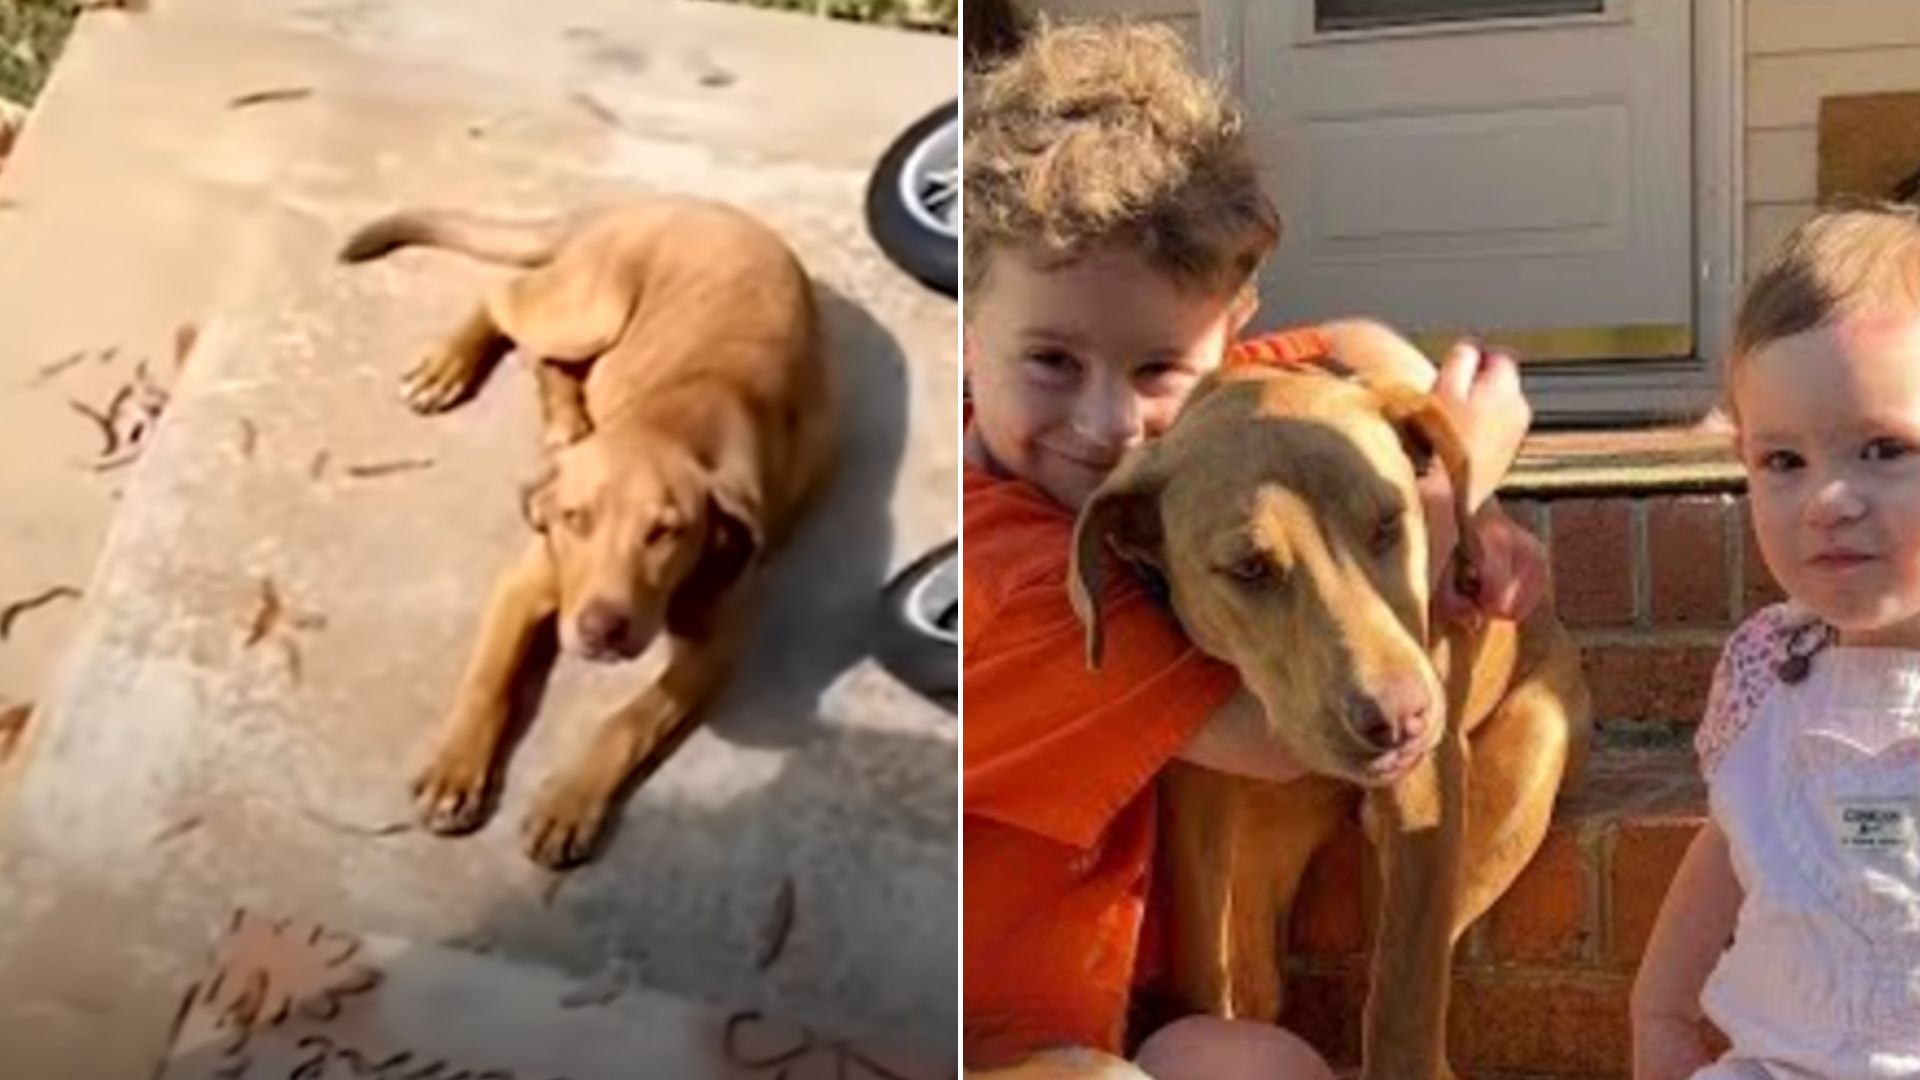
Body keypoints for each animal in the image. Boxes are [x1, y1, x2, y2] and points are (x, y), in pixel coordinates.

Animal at [341, 193, 837, 864]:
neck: (669, 421)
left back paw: (565, 420)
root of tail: (658, 200)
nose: (602, 631)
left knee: (548, 358)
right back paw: (451, 367)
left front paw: (570, 803)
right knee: (505, 300)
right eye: (576, 520)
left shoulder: (718, 642)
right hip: (588, 309)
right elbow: (489, 679)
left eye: (667, 532)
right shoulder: (525, 583)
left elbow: (631, 719)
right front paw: (455, 771)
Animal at [1067, 361, 1589, 1076]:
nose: (1399, 719)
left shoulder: (1426, 793)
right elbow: (1201, 959)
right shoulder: (1194, 800)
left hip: (1529, 751)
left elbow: (1405, 999)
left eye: (1390, 523)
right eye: (1250, 568)